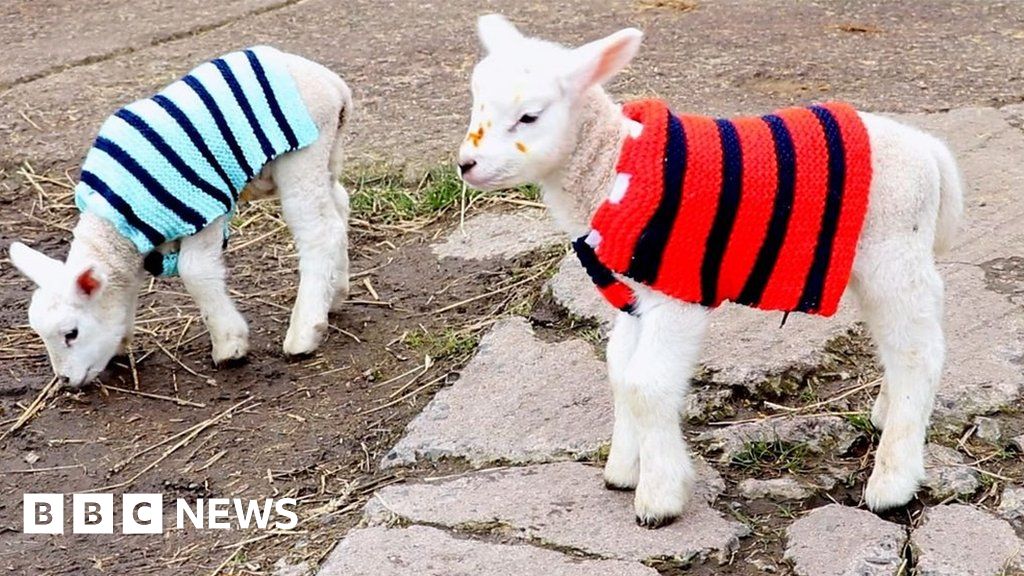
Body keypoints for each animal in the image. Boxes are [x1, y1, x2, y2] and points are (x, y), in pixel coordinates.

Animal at [8, 46, 353, 388]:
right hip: (328, 154)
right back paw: (335, 294)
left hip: (302, 154)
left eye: (72, 333)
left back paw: (305, 333)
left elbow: (196, 271)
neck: (118, 225)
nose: (65, 380)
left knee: (319, 232)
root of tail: (333, 85)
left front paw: (230, 346)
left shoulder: (203, 206)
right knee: (339, 209)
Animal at [457, 15, 963, 527]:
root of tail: (930, 150)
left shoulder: (678, 292)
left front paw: (660, 495)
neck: (612, 167)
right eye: (477, 105)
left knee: (918, 352)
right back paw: (884, 415)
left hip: (893, 251)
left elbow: (646, 384)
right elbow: (620, 371)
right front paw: (624, 468)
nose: (466, 165)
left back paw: (893, 480)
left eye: (529, 117)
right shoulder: (634, 297)